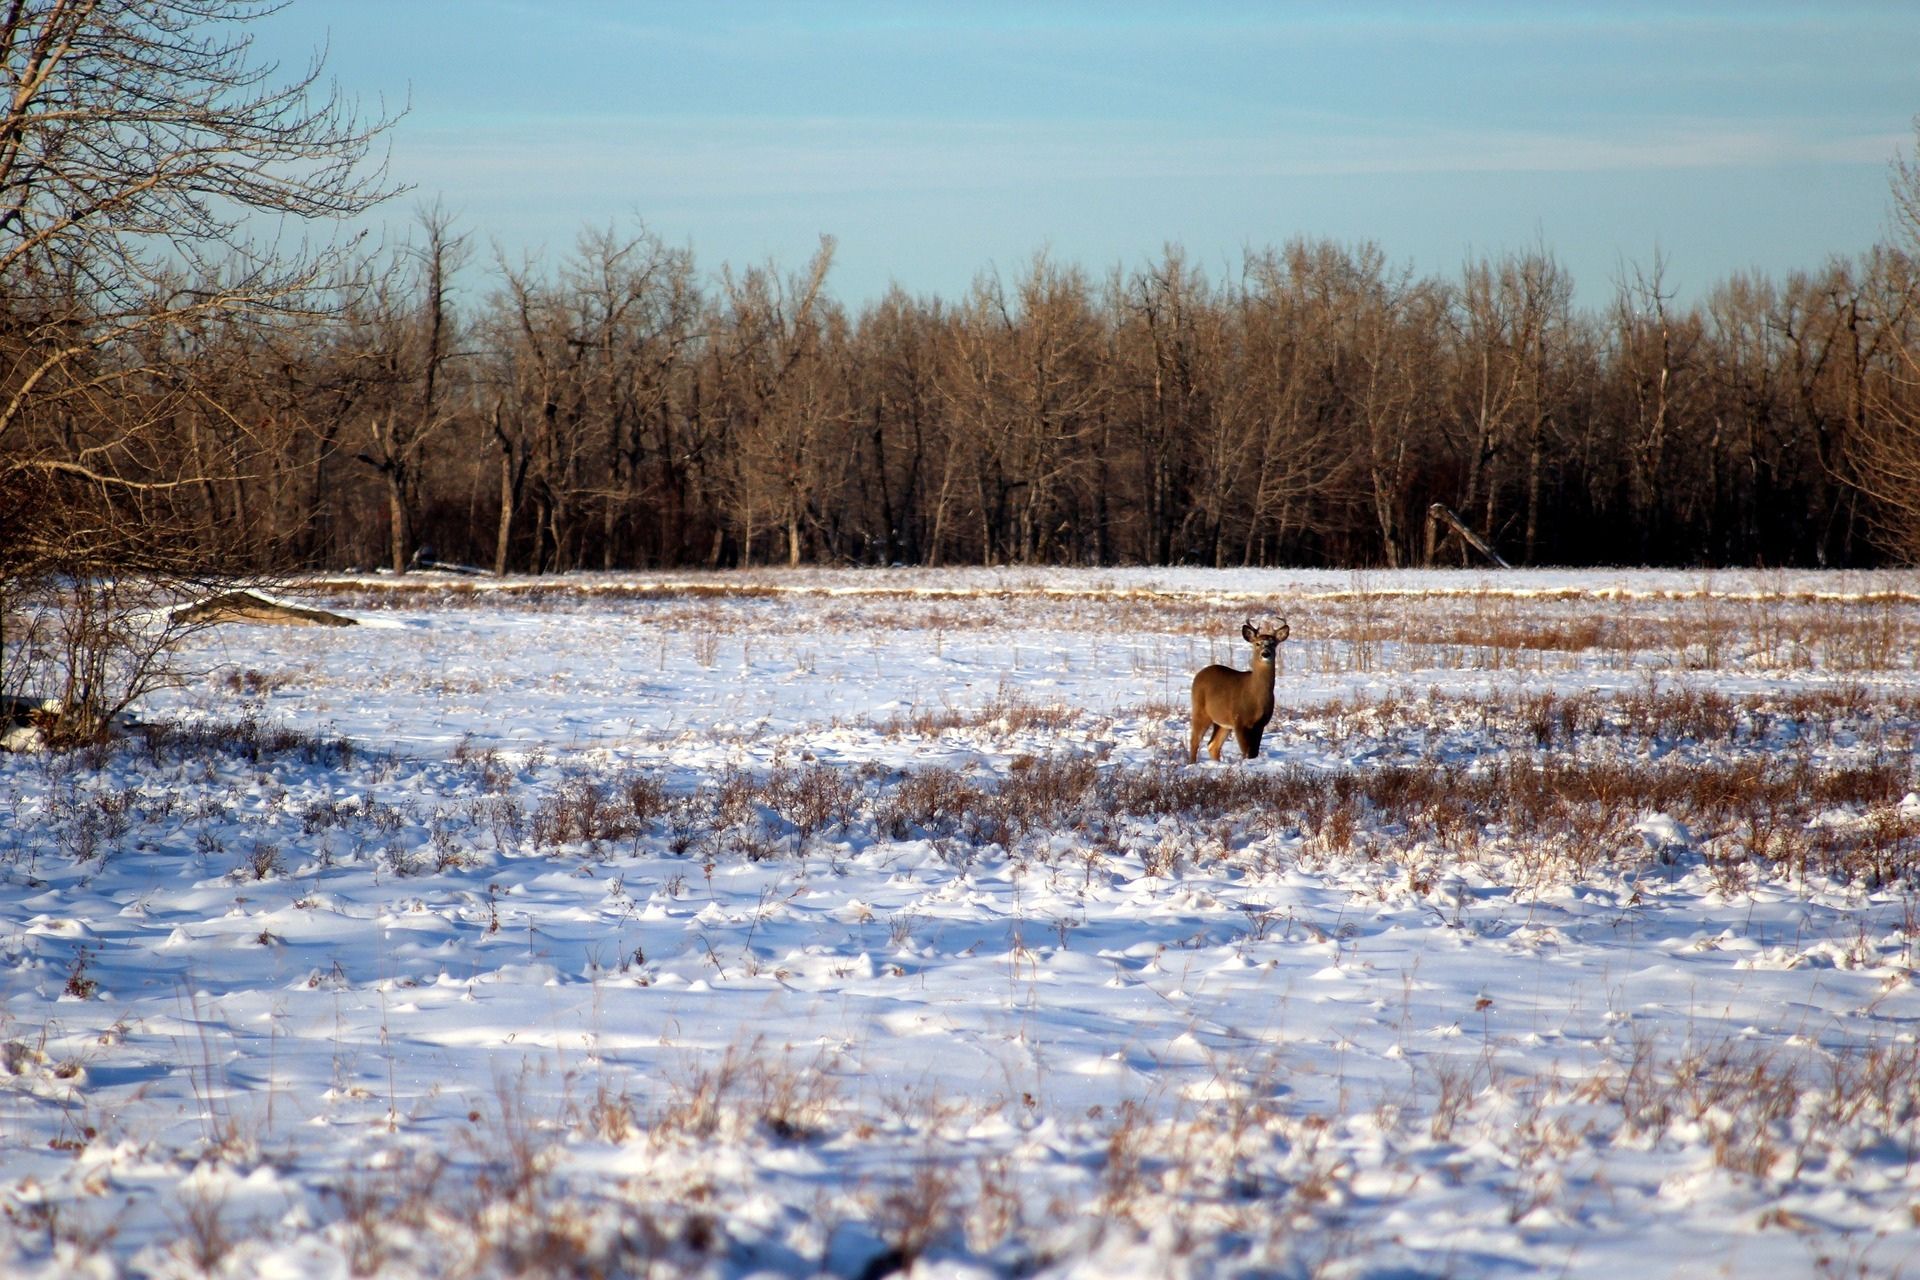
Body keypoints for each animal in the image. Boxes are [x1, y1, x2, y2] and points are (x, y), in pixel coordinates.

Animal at [1182, 617, 1290, 759]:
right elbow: (1246, 753)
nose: (1265, 653)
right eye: (1257, 643)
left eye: (1273, 643)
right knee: (1195, 741)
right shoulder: (1239, 720)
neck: (1255, 696)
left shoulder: (1260, 724)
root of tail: (1200, 673)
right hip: (1200, 710)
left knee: (1213, 745)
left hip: (1223, 723)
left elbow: (1253, 753)